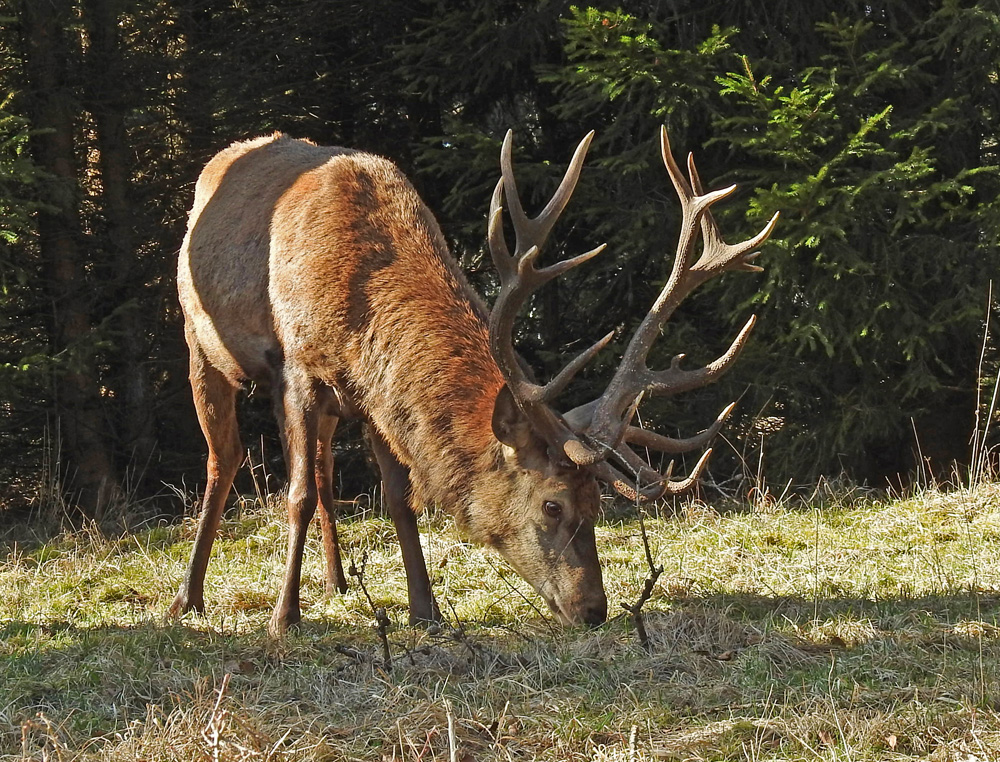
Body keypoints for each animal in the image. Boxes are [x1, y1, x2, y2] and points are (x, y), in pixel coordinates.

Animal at [168, 124, 776, 632]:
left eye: (599, 505)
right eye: (552, 505)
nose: (594, 610)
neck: (358, 305)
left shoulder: (371, 398)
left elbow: (398, 498)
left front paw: (425, 609)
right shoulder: (298, 369)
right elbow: (294, 495)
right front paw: (283, 618)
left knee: (323, 473)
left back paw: (336, 582)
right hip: (200, 342)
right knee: (226, 461)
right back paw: (188, 598)